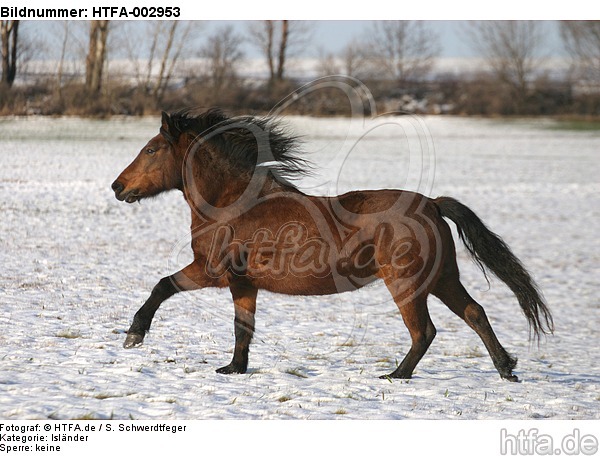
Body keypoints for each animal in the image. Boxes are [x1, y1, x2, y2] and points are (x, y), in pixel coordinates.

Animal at [111, 108, 552, 380]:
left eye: (151, 149)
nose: (117, 187)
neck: (232, 205)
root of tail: (431, 203)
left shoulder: (209, 271)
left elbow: (162, 286)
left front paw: (134, 334)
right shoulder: (243, 283)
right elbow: (242, 328)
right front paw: (233, 369)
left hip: (407, 283)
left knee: (424, 331)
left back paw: (396, 375)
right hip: (442, 278)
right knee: (475, 313)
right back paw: (506, 368)